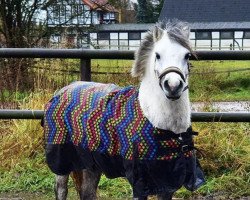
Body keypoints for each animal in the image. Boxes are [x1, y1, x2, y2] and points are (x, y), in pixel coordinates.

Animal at [43, 20, 204, 200]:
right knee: (61, 189)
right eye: (157, 55)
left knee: (87, 192)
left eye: (187, 55)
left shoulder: (168, 182)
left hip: (91, 161)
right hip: (62, 161)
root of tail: (64, 90)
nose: (173, 86)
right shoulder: (139, 181)